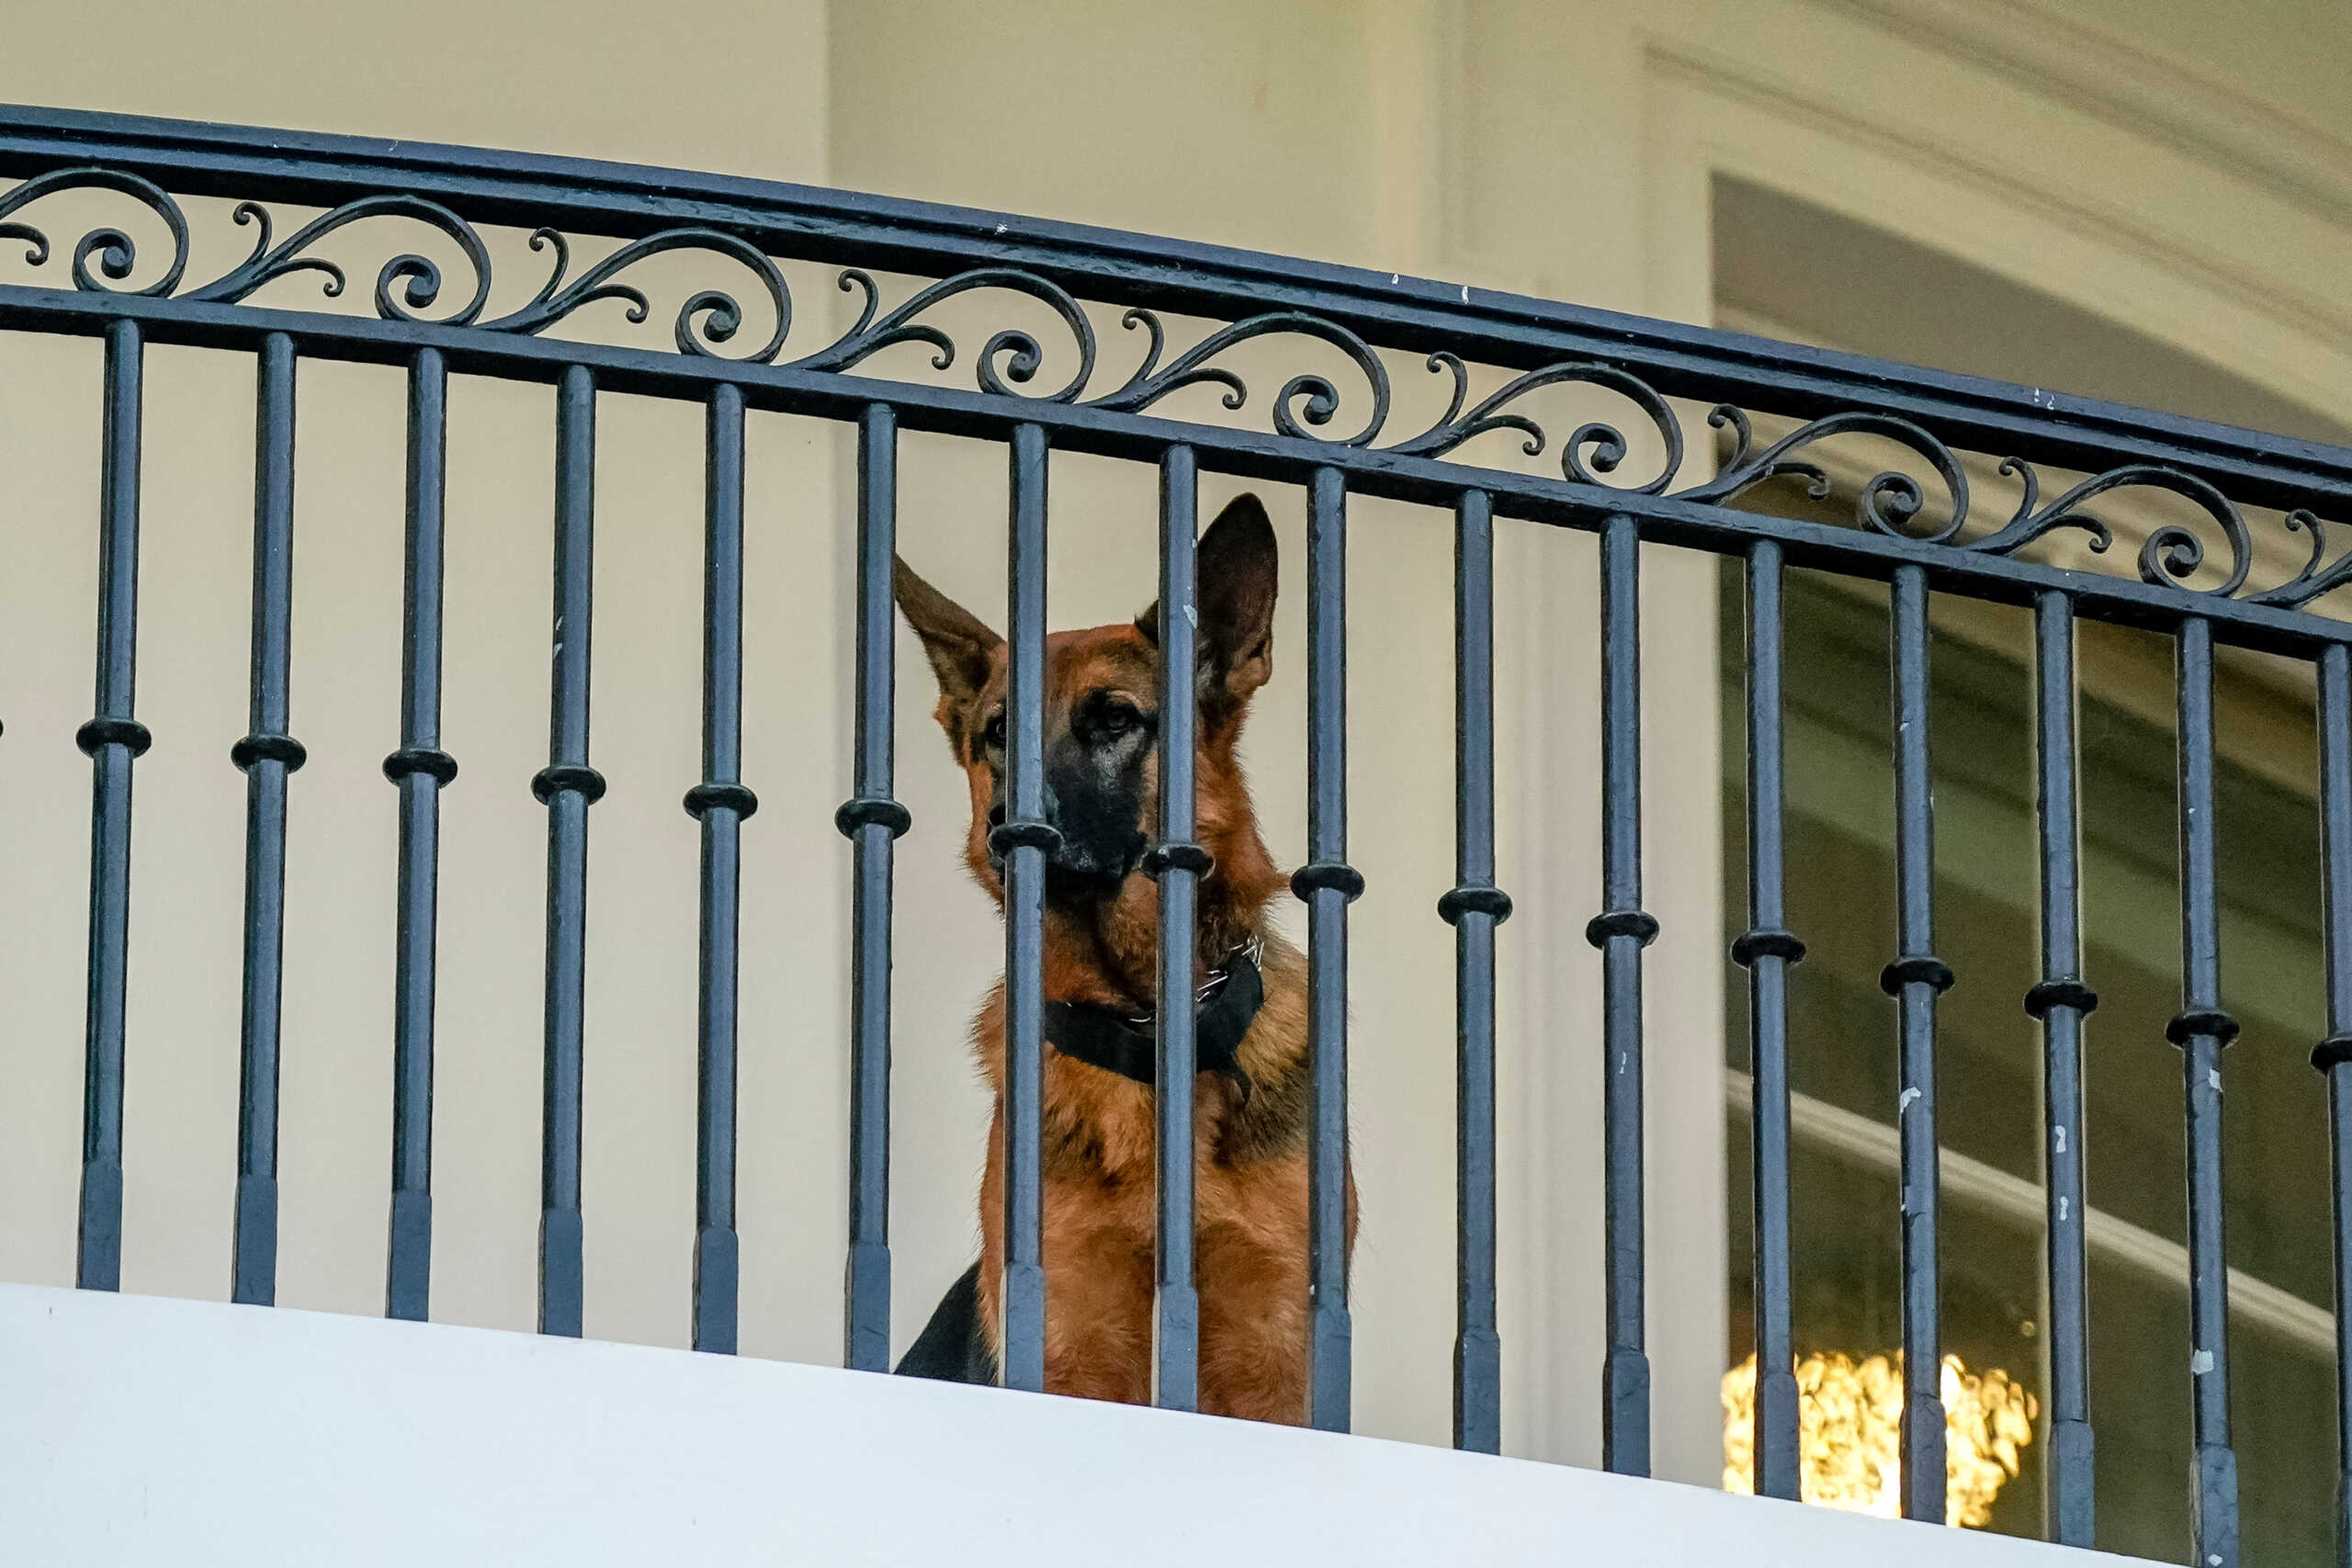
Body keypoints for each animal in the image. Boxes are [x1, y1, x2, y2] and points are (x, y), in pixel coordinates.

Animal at [884, 501, 1363, 1419]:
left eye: (1113, 719)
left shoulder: (1276, 1358)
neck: (1142, 1019)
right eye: (998, 733)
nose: (1005, 827)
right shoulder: (1071, 1345)